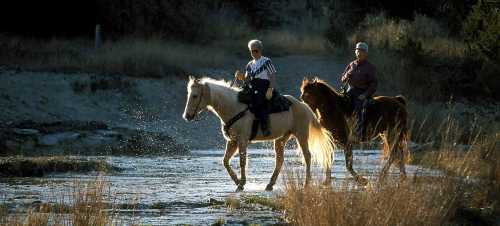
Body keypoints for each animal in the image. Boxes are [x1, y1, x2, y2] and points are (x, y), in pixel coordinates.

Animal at [182, 77, 334, 192]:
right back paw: (270, 184)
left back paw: (306, 184)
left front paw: (241, 184)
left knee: (307, 157)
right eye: (188, 95)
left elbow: (242, 161)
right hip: (281, 139)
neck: (234, 107)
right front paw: (237, 181)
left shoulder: (242, 140)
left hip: (301, 135)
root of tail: (304, 106)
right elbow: (225, 161)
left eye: (195, 95)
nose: (187, 116)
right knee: (279, 160)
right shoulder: (232, 141)